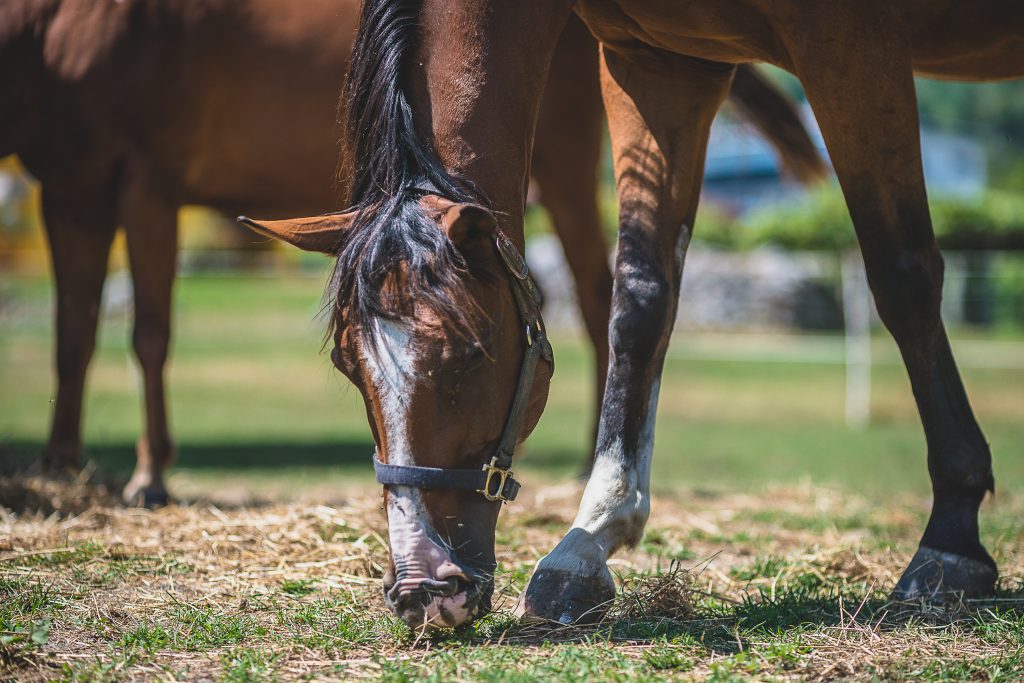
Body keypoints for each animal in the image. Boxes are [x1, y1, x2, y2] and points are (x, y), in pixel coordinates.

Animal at [0, 0, 815, 505]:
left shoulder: (146, 182)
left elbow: (147, 333)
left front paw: (149, 476)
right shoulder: (69, 190)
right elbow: (73, 333)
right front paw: (58, 465)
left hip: (565, 162)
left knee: (594, 296)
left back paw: (592, 461)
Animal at [253, 1, 1015, 630]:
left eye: (471, 353)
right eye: (348, 365)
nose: (422, 589)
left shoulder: (852, 44)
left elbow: (903, 273)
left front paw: (951, 542)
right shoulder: (657, 62)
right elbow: (641, 299)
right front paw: (588, 542)